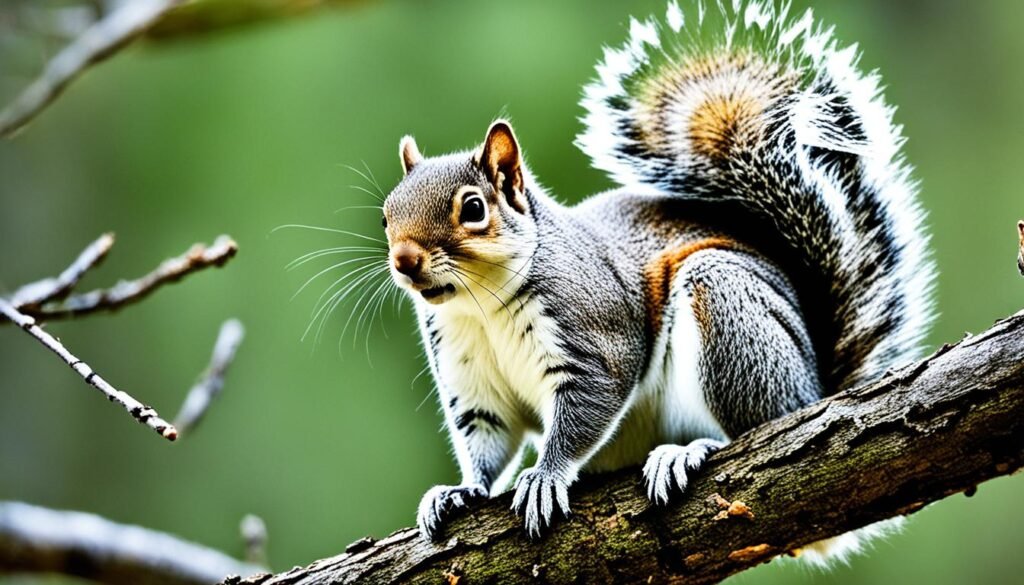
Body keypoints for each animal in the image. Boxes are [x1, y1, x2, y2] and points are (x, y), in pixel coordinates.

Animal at [380, 1, 933, 569]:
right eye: (386, 214)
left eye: (473, 208)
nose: (404, 260)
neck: (480, 305)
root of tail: (815, 387)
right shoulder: (469, 375)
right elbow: (487, 443)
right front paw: (461, 490)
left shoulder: (594, 335)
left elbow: (585, 410)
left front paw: (546, 476)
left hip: (729, 314)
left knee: (754, 428)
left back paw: (688, 451)